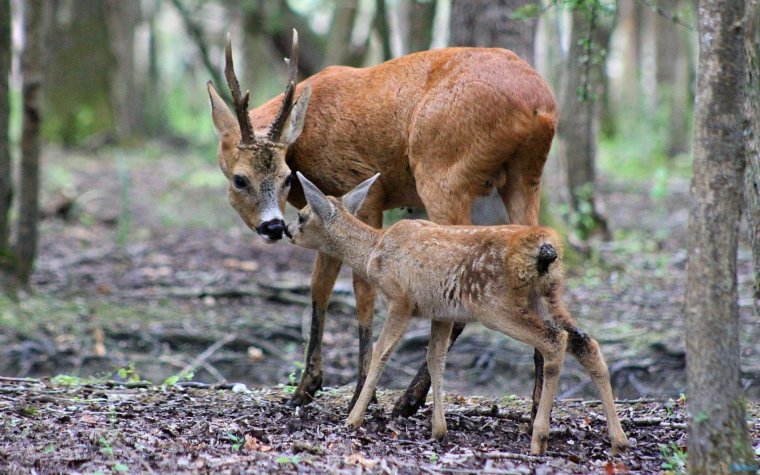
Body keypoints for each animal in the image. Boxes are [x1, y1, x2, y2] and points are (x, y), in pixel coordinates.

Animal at [208, 31, 560, 422]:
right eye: (240, 179)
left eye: (285, 178)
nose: (273, 227)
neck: (306, 136)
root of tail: (539, 103)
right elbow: (319, 287)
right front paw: (305, 388)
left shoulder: (365, 189)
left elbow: (362, 289)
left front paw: (362, 392)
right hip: (526, 174)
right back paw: (536, 407)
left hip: (442, 170)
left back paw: (409, 399)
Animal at [284, 173, 628, 456]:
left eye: (302, 215)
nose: (285, 230)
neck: (374, 253)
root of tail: (547, 249)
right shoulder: (441, 311)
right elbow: (436, 358)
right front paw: (439, 429)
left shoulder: (401, 299)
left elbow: (382, 352)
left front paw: (353, 418)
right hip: (548, 296)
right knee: (585, 342)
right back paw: (618, 439)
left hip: (496, 304)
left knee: (554, 341)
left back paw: (540, 438)